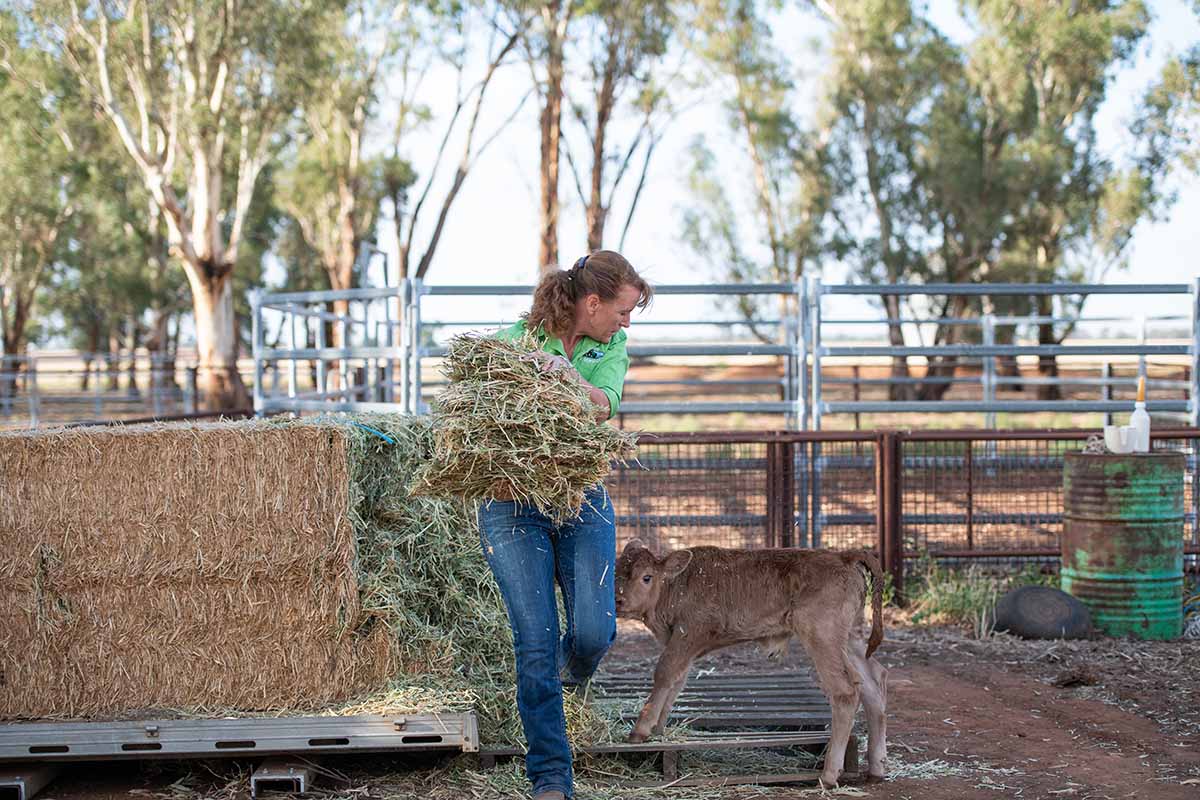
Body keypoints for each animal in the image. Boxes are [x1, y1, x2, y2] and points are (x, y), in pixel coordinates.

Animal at [614, 542, 888, 786]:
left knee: (846, 691)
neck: (678, 584)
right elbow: (675, 681)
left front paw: (640, 731)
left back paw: (829, 775)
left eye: (647, 577)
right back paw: (876, 768)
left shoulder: (687, 635)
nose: (618, 601)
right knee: (873, 685)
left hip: (822, 638)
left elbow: (664, 672)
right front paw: (658, 730)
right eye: (616, 573)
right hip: (849, 640)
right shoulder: (684, 648)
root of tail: (844, 556)